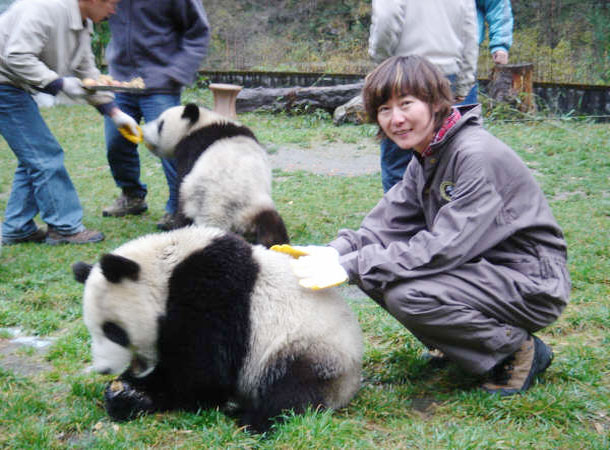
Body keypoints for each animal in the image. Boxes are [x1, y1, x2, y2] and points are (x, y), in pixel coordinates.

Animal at [73, 229, 364, 432]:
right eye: (92, 330)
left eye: (113, 331)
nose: (104, 369)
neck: (164, 268)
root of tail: (351, 385)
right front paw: (121, 389)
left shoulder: (211, 289)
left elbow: (203, 370)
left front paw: (136, 395)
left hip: (310, 349)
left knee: (292, 388)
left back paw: (253, 420)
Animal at [141, 103, 288, 248]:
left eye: (160, 124)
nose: (144, 130)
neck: (202, 123)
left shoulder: (191, 149)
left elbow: (180, 180)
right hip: (254, 210)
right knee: (272, 226)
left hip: (194, 203)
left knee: (183, 219)